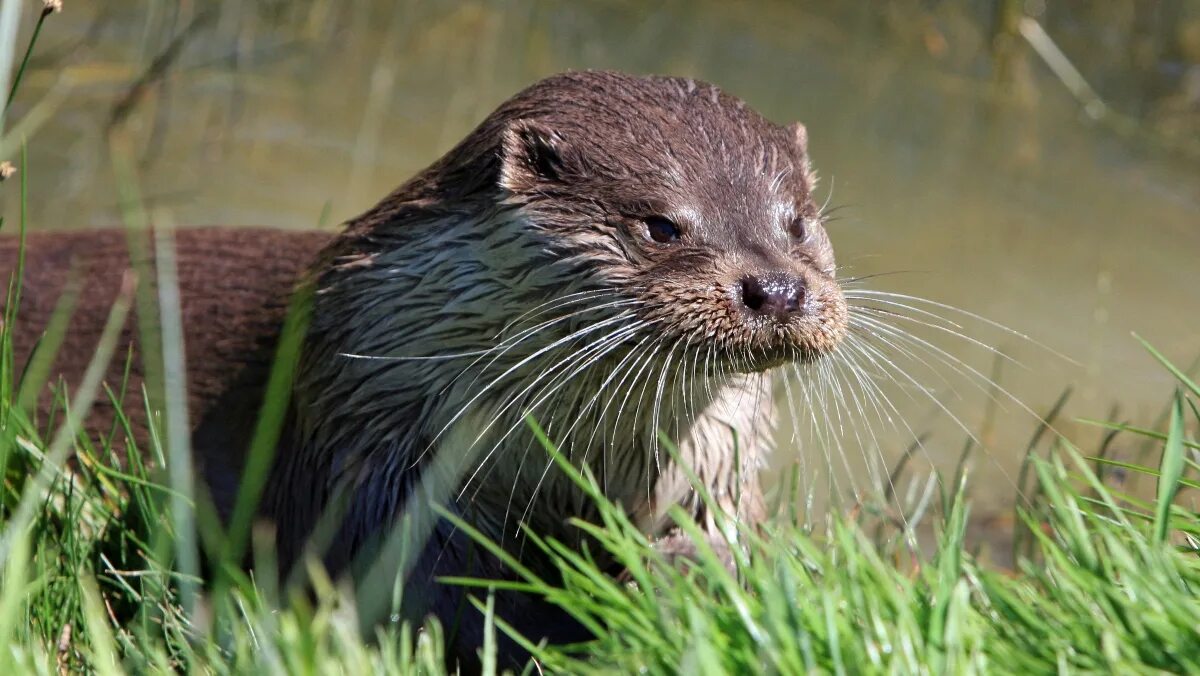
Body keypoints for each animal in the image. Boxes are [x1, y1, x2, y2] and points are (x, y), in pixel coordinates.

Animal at [2, 70, 844, 667]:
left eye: (797, 223)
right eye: (662, 226)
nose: (777, 289)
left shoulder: (717, 459)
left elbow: (732, 544)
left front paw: (687, 584)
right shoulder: (369, 448)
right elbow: (422, 590)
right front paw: (564, 625)